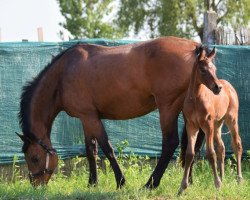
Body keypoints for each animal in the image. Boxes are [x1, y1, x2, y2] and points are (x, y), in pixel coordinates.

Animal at [16, 36, 203, 188]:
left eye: (34, 157)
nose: (36, 185)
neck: (63, 74)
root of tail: (195, 48)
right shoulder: (86, 118)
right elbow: (90, 150)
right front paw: (92, 182)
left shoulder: (90, 117)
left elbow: (107, 148)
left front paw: (120, 181)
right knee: (192, 144)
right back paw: (189, 181)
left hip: (168, 108)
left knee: (170, 143)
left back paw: (151, 184)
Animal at [179, 46, 243, 195]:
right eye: (203, 70)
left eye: (214, 68)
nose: (217, 87)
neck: (195, 99)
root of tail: (229, 85)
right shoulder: (191, 126)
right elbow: (189, 154)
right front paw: (182, 187)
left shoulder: (207, 126)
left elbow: (210, 154)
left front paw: (217, 185)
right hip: (217, 124)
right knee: (221, 147)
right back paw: (223, 177)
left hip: (231, 119)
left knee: (237, 144)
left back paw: (238, 179)